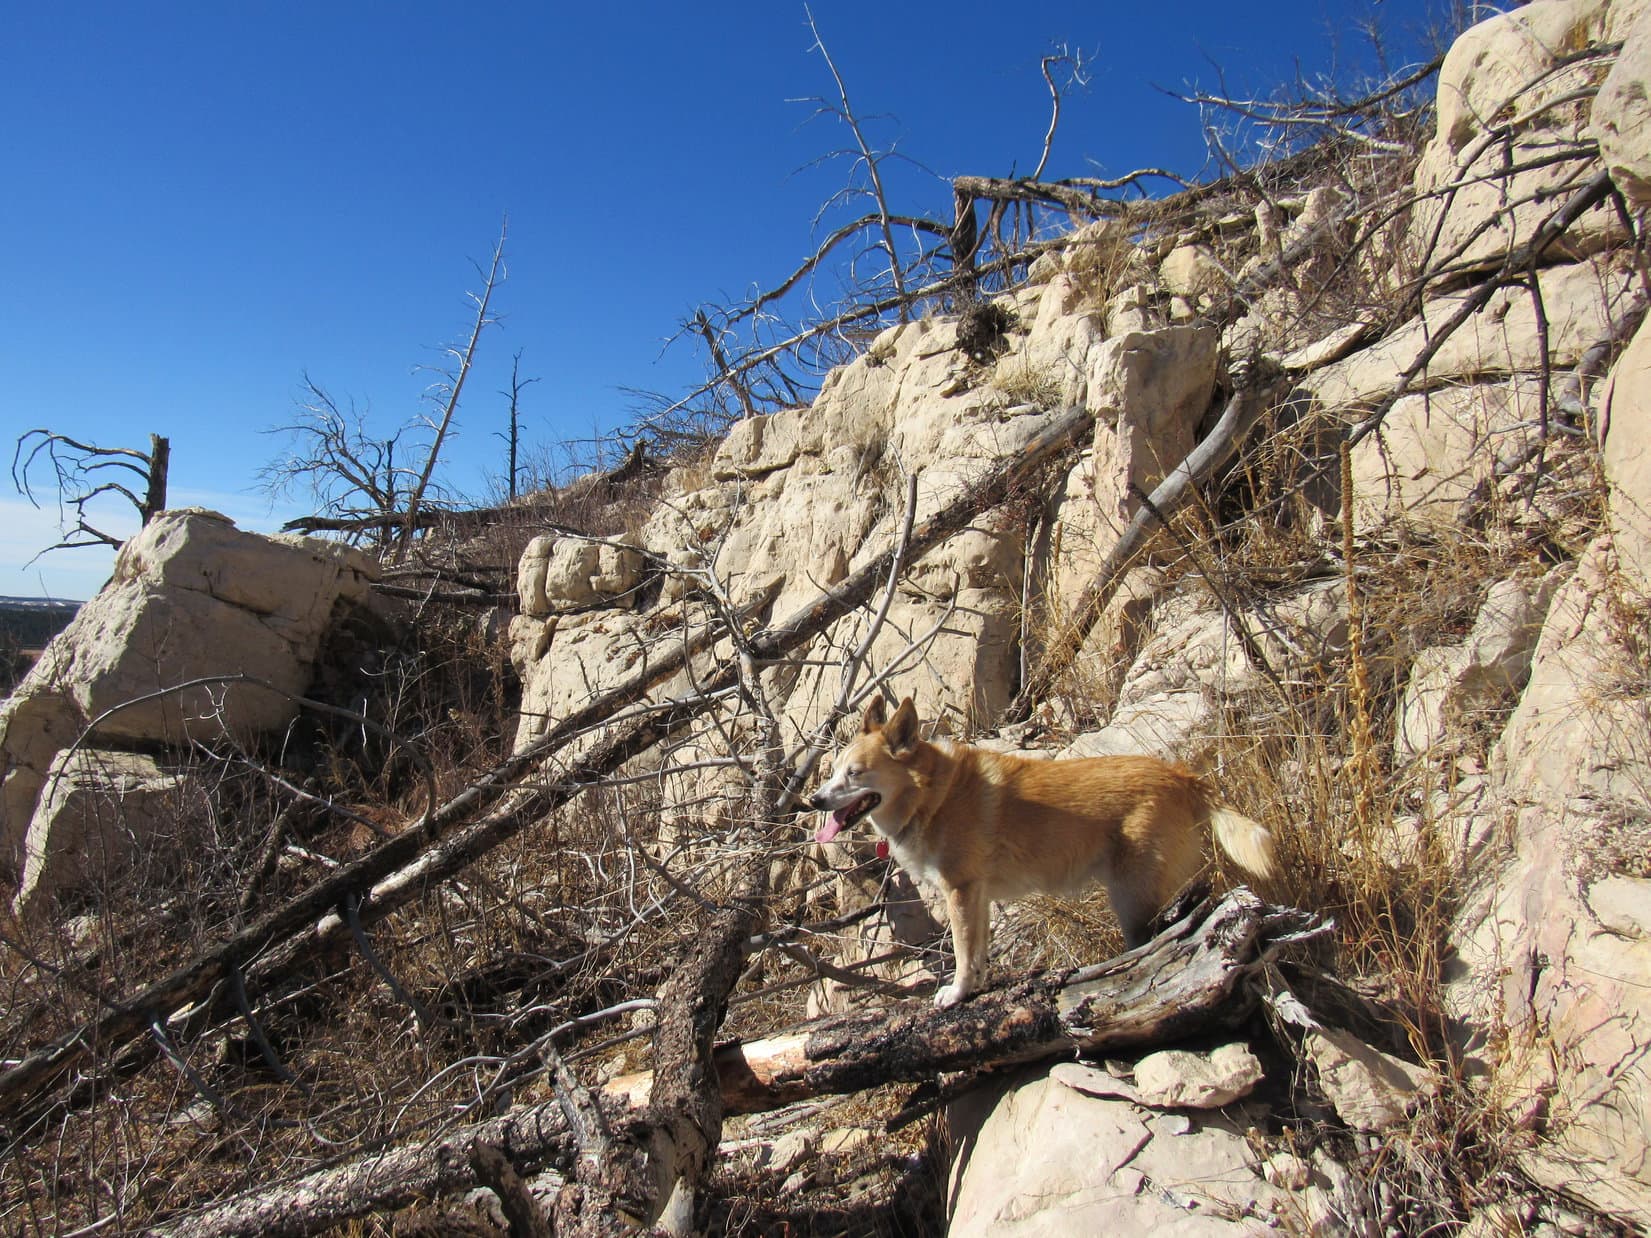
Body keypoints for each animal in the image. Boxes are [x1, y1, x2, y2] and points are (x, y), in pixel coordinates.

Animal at [809, 695, 1277, 1007]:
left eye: (855, 774)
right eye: (833, 771)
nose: (814, 800)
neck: (932, 795)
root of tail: (1183, 777)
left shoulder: (960, 890)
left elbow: (961, 952)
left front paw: (956, 993)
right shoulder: (977, 895)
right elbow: (977, 952)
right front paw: (975, 987)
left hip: (1132, 897)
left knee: (1154, 941)